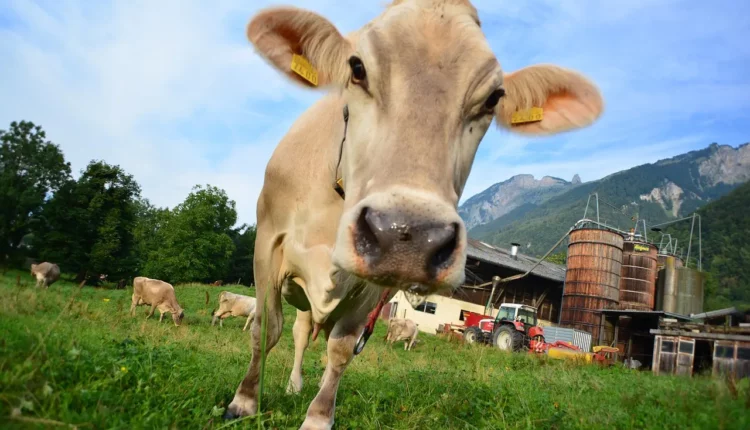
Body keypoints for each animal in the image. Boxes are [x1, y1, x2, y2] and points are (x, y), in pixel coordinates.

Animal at [224, 1, 604, 428]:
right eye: (357, 67)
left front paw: (319, 417)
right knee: (299, 330)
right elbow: (265, 328)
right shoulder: (267, 241)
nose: (408, 235)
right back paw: (291, 384)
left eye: (494, 97)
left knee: (312, 328)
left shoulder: (371, 285)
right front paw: (244, 400)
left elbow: (341, 349)